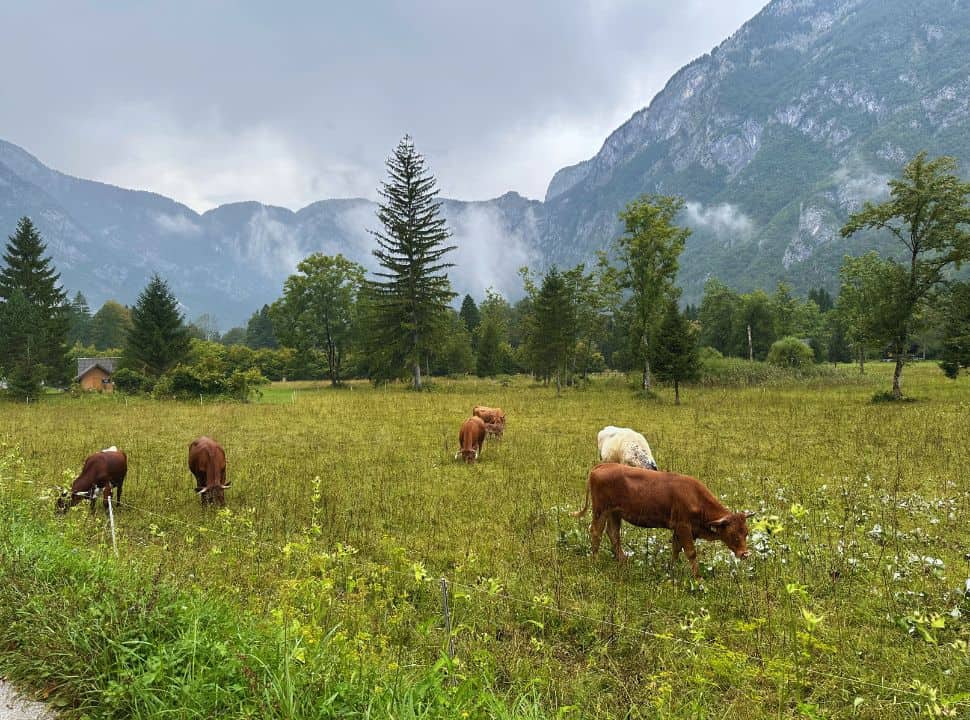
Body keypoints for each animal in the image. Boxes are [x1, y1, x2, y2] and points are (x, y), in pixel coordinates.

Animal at [572, 463, 754, 579]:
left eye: (746, 533)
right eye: (733, 534)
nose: (745, 554)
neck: (696, 498)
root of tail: (603, 465)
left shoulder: (680, 529)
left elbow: (675, 549)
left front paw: (671, 569)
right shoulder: (684, 527)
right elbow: (690, 552)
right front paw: (698, 578)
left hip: (614, 512)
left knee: (613, 534)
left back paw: (622, 559)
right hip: (600, 510)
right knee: (596, 532)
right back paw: (595, 560)